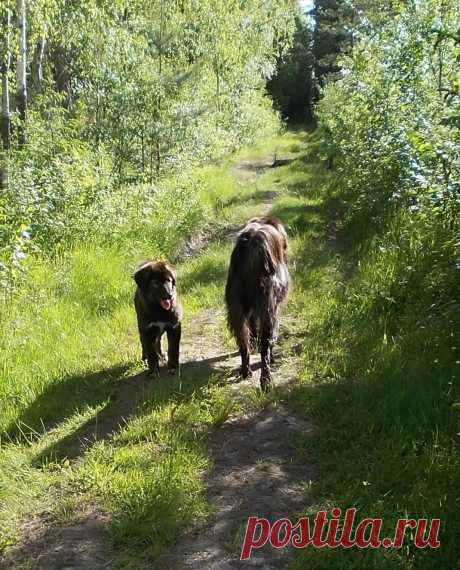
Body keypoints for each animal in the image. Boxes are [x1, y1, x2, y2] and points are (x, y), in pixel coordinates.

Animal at [225, 215, 290, 388]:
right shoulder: (274, 309)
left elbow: (252, 330)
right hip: (268, 310)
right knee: (265, 345)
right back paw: (265, 379)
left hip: (236, 310)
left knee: (243, 343)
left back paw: (245, 370)